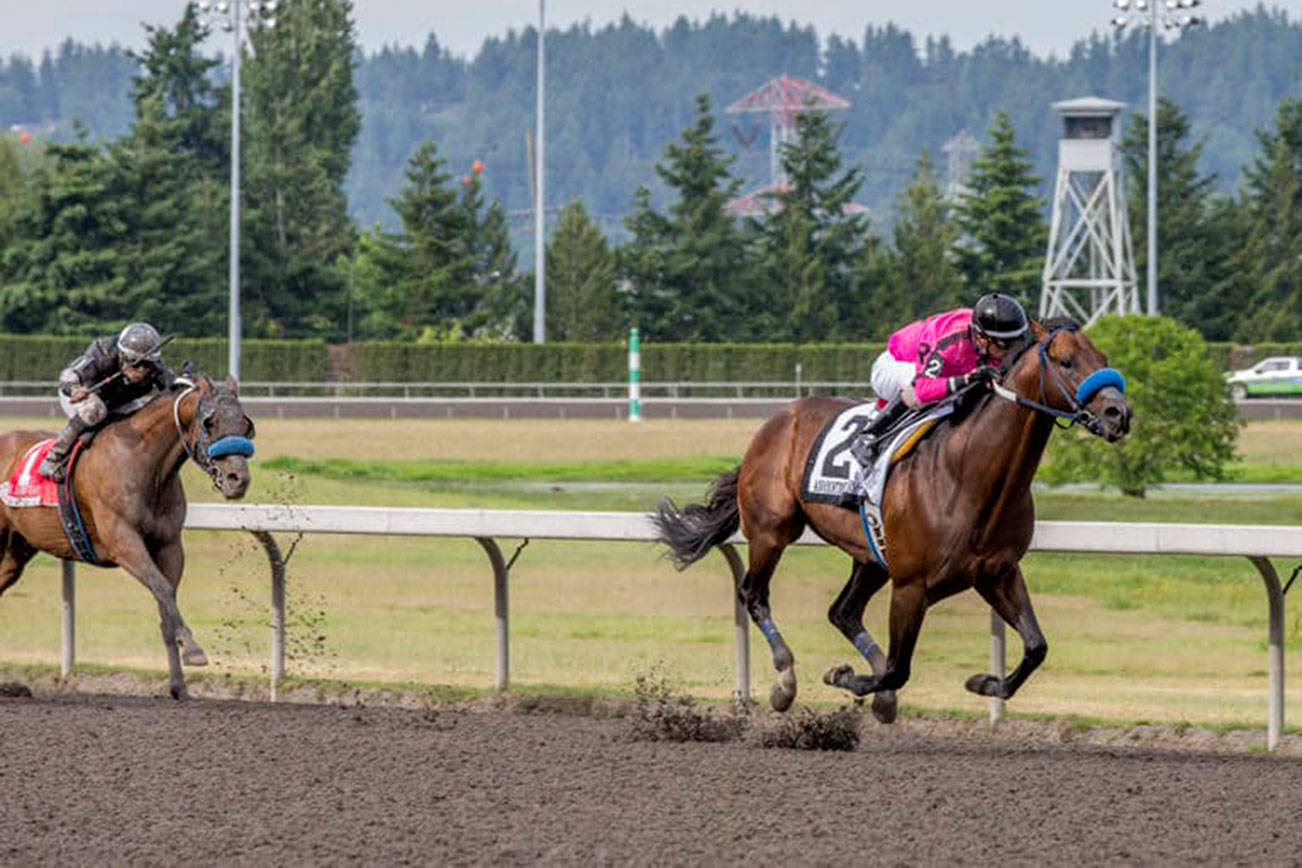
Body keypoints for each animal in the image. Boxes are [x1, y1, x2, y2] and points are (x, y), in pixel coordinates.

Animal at [0, 374, 253, 697]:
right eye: (210, 422)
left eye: (246, 423)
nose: (238, 480)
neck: (146, 464)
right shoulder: (124, 542)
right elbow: (163, 589)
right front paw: (194, 649)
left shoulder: (169, 545)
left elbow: (166, 602)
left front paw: (179, 686)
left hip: (15, 550)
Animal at [656, 318, 1135, 718]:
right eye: (1066, 361)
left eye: (1103, 359)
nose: (1120, 414)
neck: (968, 474)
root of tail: (777, 420)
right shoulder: (911, 585)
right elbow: (897, 669)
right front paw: (845, 677)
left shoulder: (997, 572)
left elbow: (1036, 646)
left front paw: (985, 683)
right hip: (773, 531)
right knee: (754, 595)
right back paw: (785, 680)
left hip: (871, 555)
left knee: (843, 612)